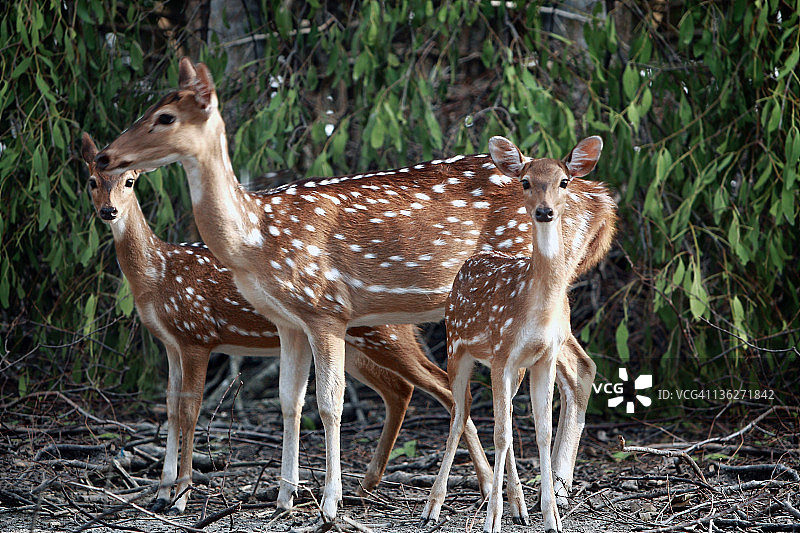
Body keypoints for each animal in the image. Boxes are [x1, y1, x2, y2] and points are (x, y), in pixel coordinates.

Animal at [81, 132, 498, 515]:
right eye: (91, 181)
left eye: (129, 181)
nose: (108, 211)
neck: (156, 277)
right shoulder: (169, 343)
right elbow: (169, 406)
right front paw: (163, 492)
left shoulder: (196, 334)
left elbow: (189, 409)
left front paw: (180, 497)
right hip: (359, 346)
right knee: (401, 389)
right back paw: (370, 483)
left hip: (381, 336)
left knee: (442, 386)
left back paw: (477, 486)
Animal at [421, 135, 615, 533]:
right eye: (525, 182)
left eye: (564, 182)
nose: (544, 211)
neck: (534, 308)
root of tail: (467, 263)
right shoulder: (500, 354)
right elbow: (500, 434)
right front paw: (491, 520)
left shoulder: (542, 357)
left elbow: (540, 431)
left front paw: (551, 516)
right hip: (456, 347)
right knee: (460, 415)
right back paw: (432, 508)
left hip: (513, 368)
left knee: (500, 417)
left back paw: (519, 507)